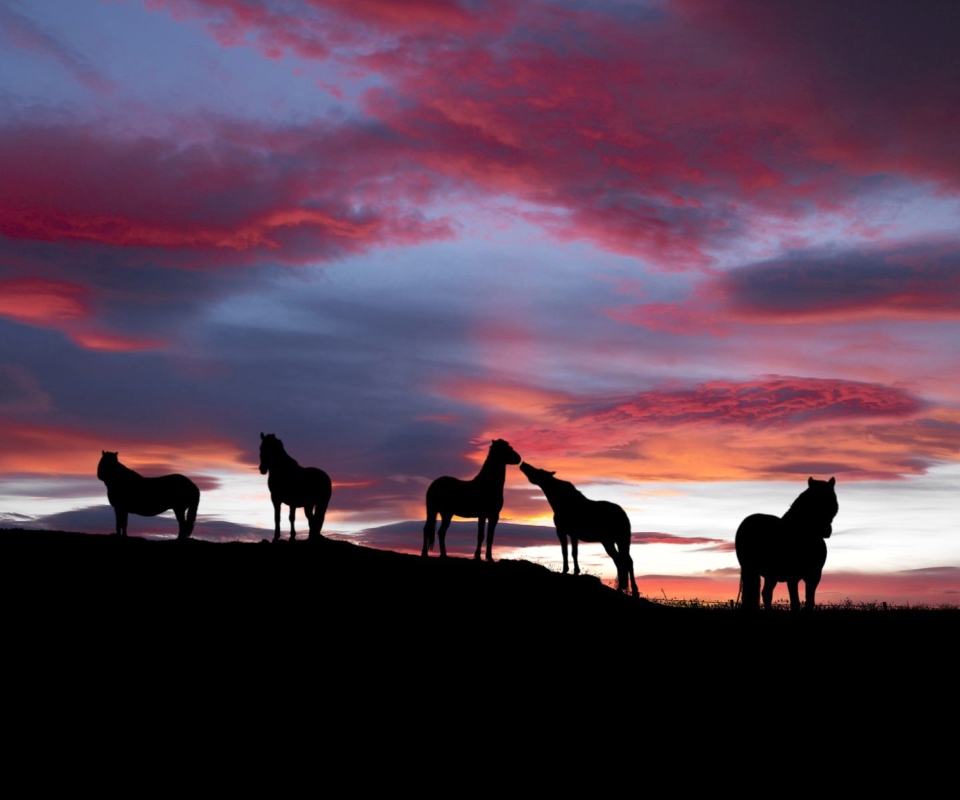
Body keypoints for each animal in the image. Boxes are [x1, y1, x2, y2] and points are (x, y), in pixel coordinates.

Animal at [516, 462, 636, 592]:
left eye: (539, 471)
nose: (523, 464)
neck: (562, 502)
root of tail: (624, 515)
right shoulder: (570, 533)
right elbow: (571, 552)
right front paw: (574, 572)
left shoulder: (563, 531)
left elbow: (568, 552)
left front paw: (567, 571)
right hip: (616, 540)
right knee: (623, 561)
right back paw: (626, 589)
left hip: (614, 540)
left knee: (623, 561)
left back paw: (628, 590)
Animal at [736, 476, 840, 612]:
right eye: (812, 500)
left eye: (832, 501)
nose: (826, 531)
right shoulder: (793, 577)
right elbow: (795, 603)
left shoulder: (814, 576)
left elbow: (810, 602)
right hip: (750, 570)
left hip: (771, 575)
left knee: (766, 593)